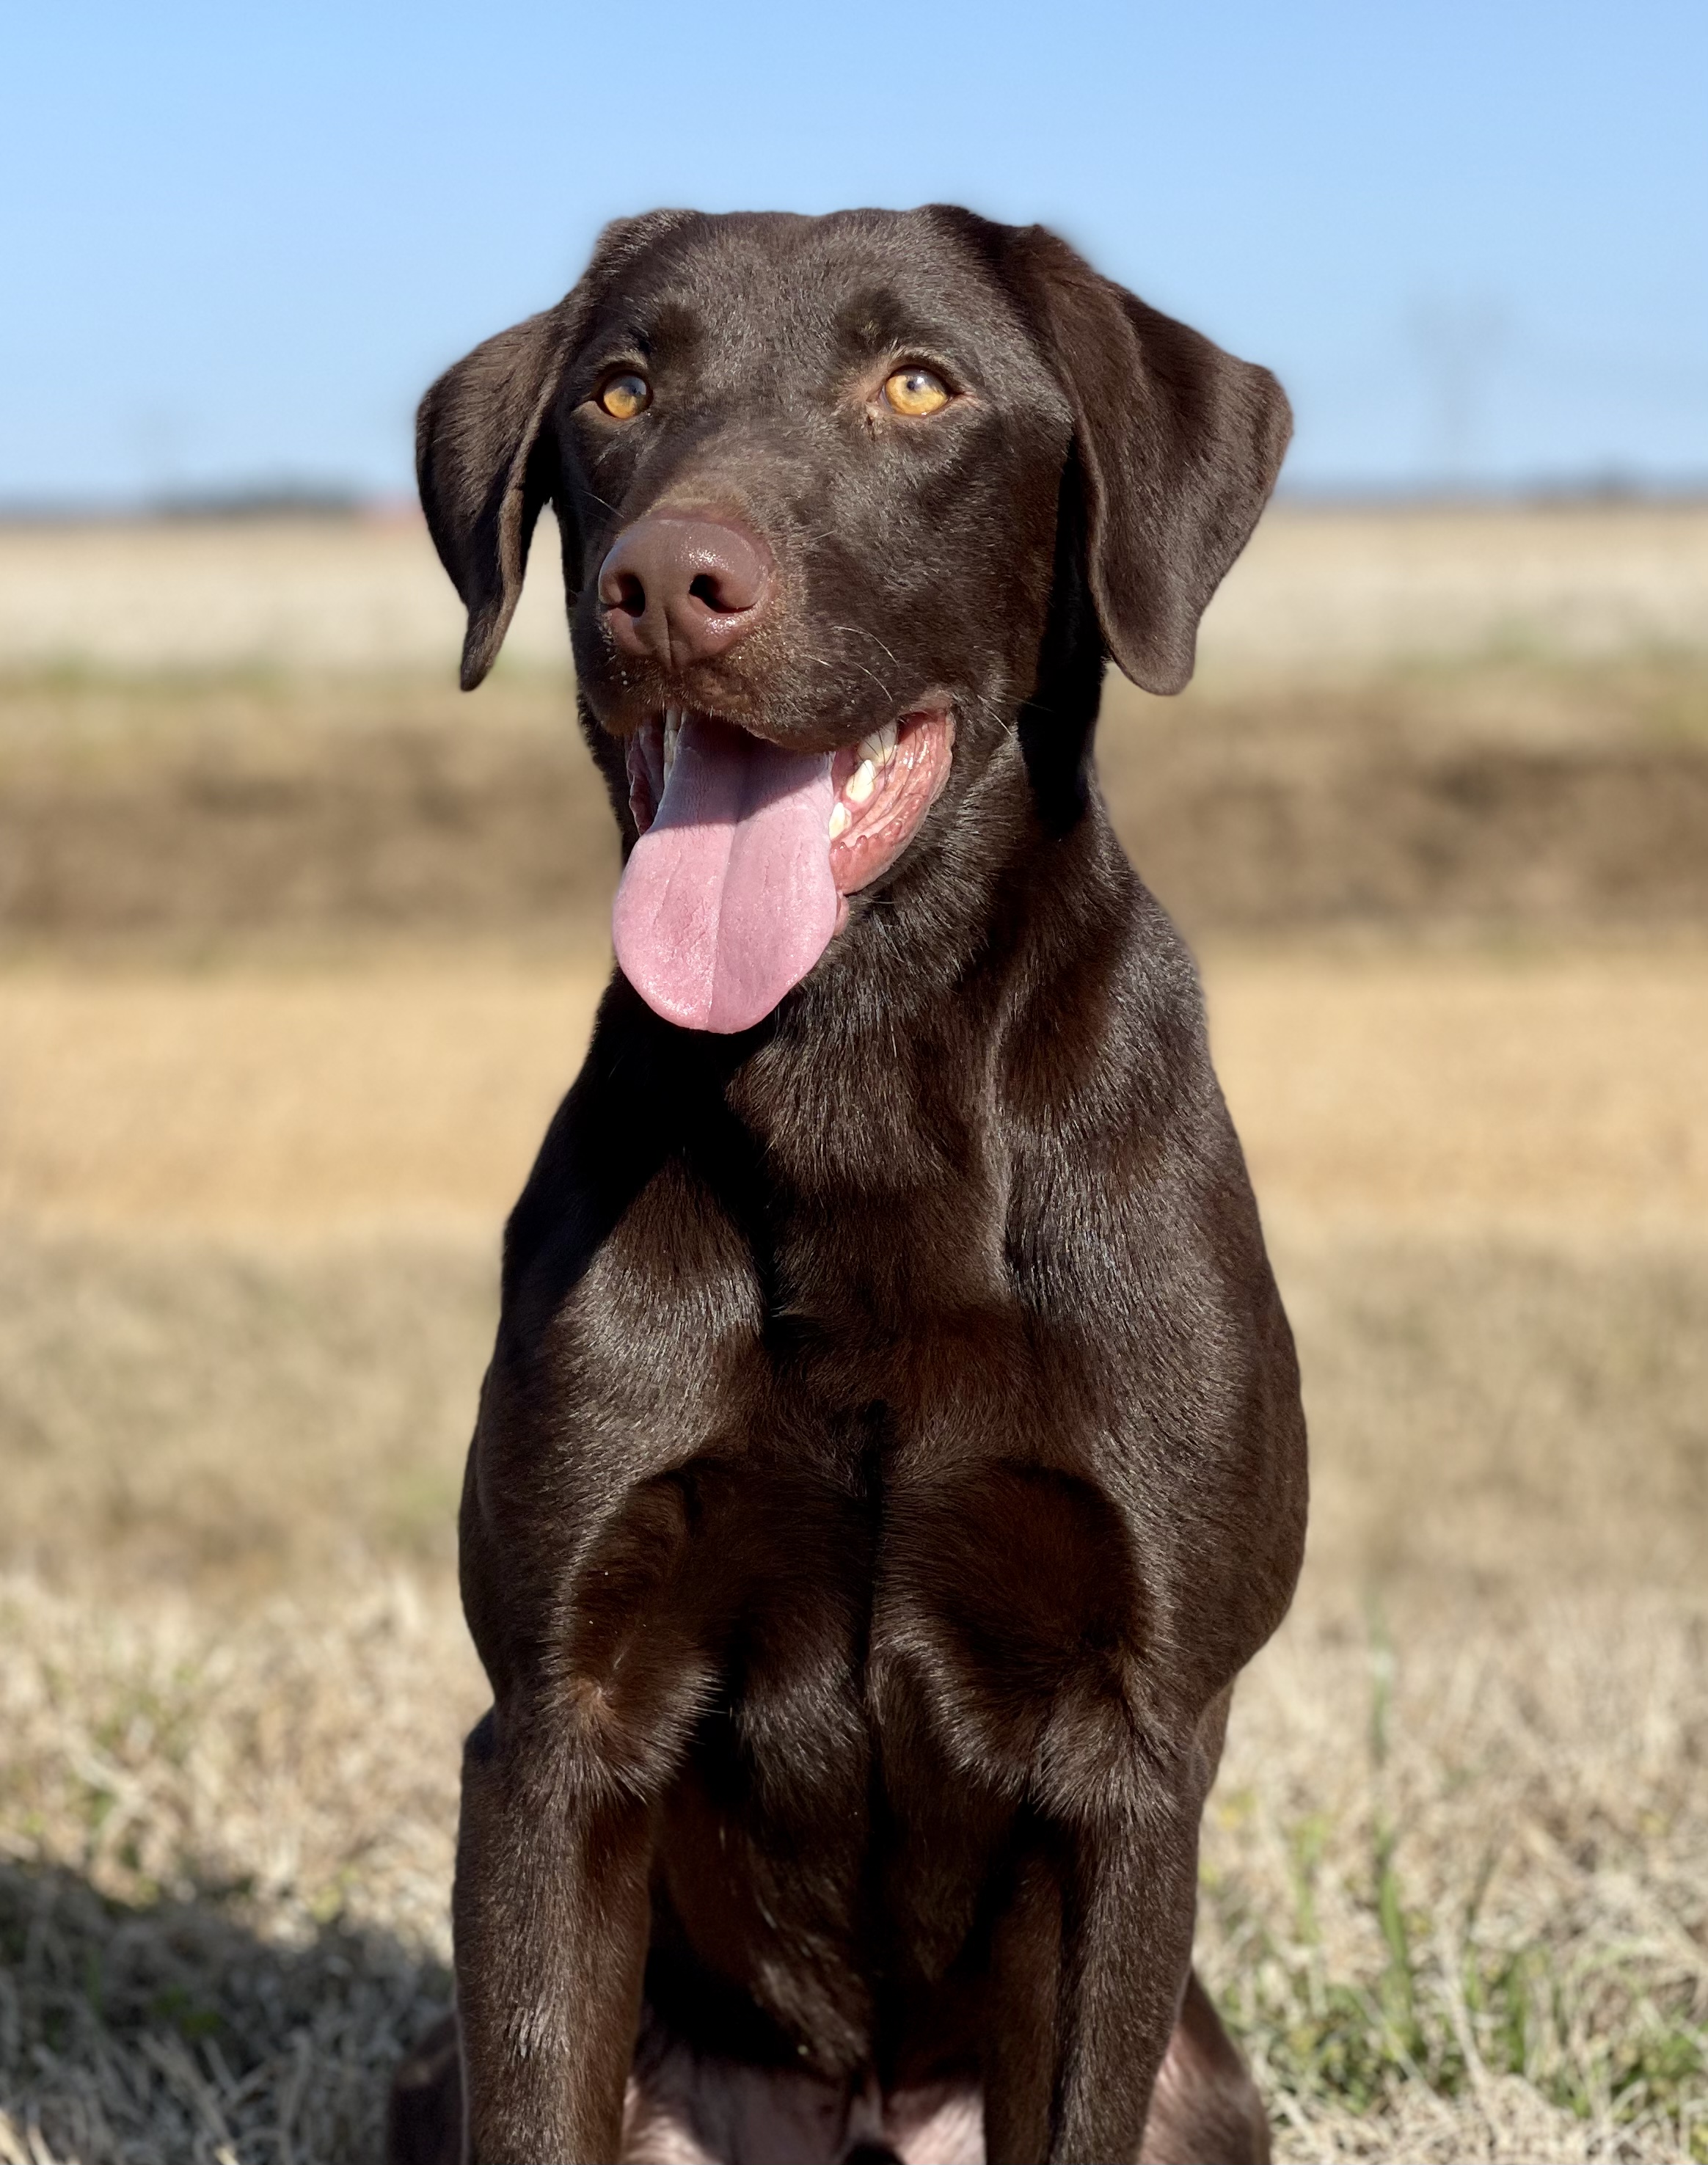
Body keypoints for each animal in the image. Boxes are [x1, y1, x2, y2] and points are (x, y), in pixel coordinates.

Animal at [390, 206, 1307, 2165]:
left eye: (918, 385)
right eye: (617, 392)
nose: (668, 583)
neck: (853, 1071)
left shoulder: (1127, 1747)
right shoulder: (554, 1729)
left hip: (1201, 2084)